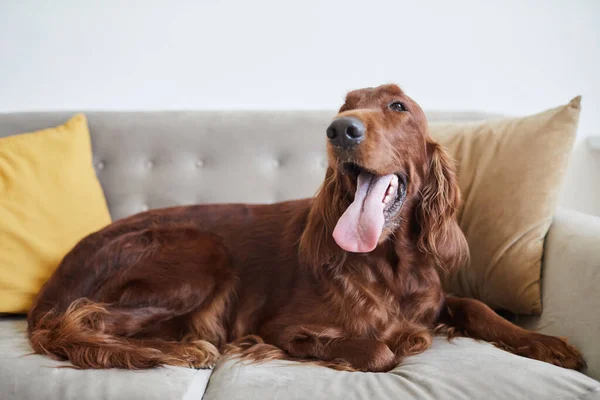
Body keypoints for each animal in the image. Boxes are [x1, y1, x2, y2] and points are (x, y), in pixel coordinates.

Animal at [29, 83, 584, 372]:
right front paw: (404, 343)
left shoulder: (435, 298)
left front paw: (547, 344)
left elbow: (475, 306)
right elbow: (379, 349)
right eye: (345, 106)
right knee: (76, 322)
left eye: (397, 106)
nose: (340, 130)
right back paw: (182, 348)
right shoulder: (281, 328)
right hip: (200, 253)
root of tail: (56, 278)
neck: (390, 264)